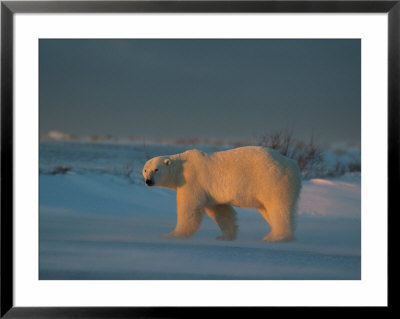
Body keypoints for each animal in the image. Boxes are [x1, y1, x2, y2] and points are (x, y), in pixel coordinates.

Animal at [142, 147, 302, 242]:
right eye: (145, 170)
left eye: (156, 169)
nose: (148, 181)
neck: (180, 168)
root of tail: (292, 164)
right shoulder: (210, 192)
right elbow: (221, 211)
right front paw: (225, 236)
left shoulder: (192, 180)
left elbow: (189, 207)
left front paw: (172, 235)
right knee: (267, 209)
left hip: (272, 180)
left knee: (279, 208)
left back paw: (277, 237)